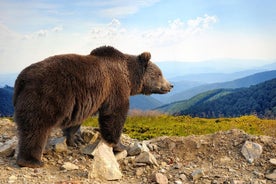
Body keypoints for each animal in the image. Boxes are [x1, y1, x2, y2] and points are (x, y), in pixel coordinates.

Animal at [13, 46, 172, 168]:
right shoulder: (115, 87)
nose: (170, 85)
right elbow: (114, 114)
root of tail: (21, 79)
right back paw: (31, 160)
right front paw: (119, 146)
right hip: (47, 95)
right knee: (36, 127)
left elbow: (76, 120)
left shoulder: (82, 102)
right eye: (159, 74)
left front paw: (75, 139)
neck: (130, 77)